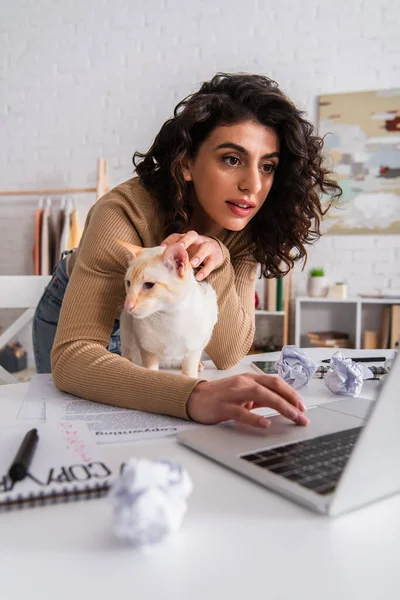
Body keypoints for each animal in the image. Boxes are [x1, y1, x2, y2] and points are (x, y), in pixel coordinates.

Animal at [115, 240, 219, 378]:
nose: (127, 306)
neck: (168, 316)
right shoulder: (146, 347)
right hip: (125, 325)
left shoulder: (195, 349)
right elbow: (151, 371)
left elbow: (189, 374)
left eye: (149, 285)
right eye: (128, 283)